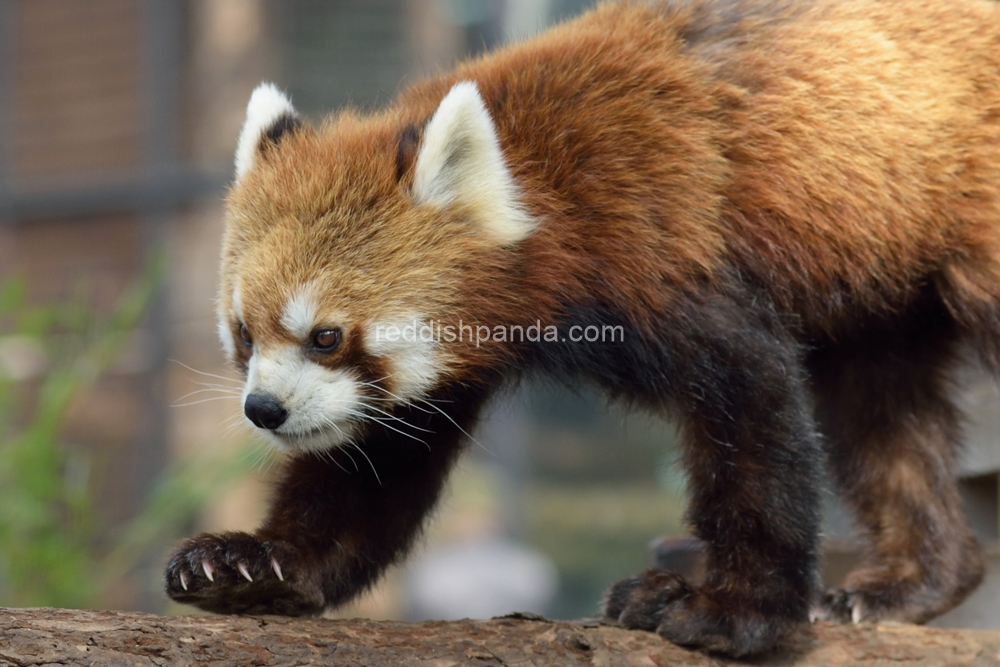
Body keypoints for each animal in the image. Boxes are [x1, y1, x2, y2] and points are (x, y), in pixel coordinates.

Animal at [164, 0, 1000, 656]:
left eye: (326, 335)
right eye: (245, 334)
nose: (264, 409)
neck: (541, 195)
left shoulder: (665, 250)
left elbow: (754, 417)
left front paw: (733, 610)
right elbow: (372, 470)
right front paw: (256, 563)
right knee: (886, 420)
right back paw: (915, 579)